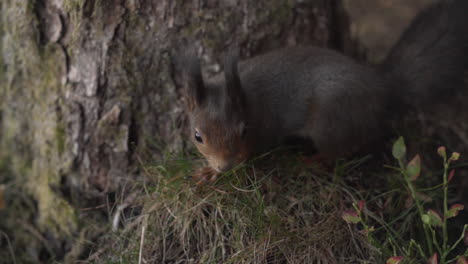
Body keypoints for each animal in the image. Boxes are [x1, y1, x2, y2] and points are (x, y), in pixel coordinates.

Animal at [179, 0, 468, 182]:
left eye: (244, 131)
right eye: (197, 136)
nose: (224, 165)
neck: (246, 99)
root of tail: (382, 85)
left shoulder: (264, 132)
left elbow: (251, 154)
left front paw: (213, 173)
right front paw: (211, 170)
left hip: (331, 121)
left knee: (338, 153)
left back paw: (311, 162)